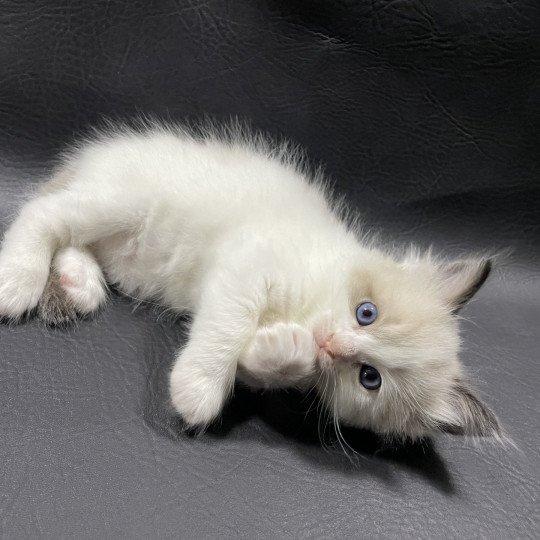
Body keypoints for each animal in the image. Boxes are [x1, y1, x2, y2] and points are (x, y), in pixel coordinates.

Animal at [0, 121, 502, 438]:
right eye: (367, 313)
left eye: (369, 378)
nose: (330, 344)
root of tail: (94, 155)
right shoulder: (248, 265)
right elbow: (228, 326)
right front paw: (197, 390)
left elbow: (261, 364)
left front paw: (287, 350)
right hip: (123, 202)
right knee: (43, 211)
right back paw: (18, 280)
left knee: (74, 237)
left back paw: (76, 283)